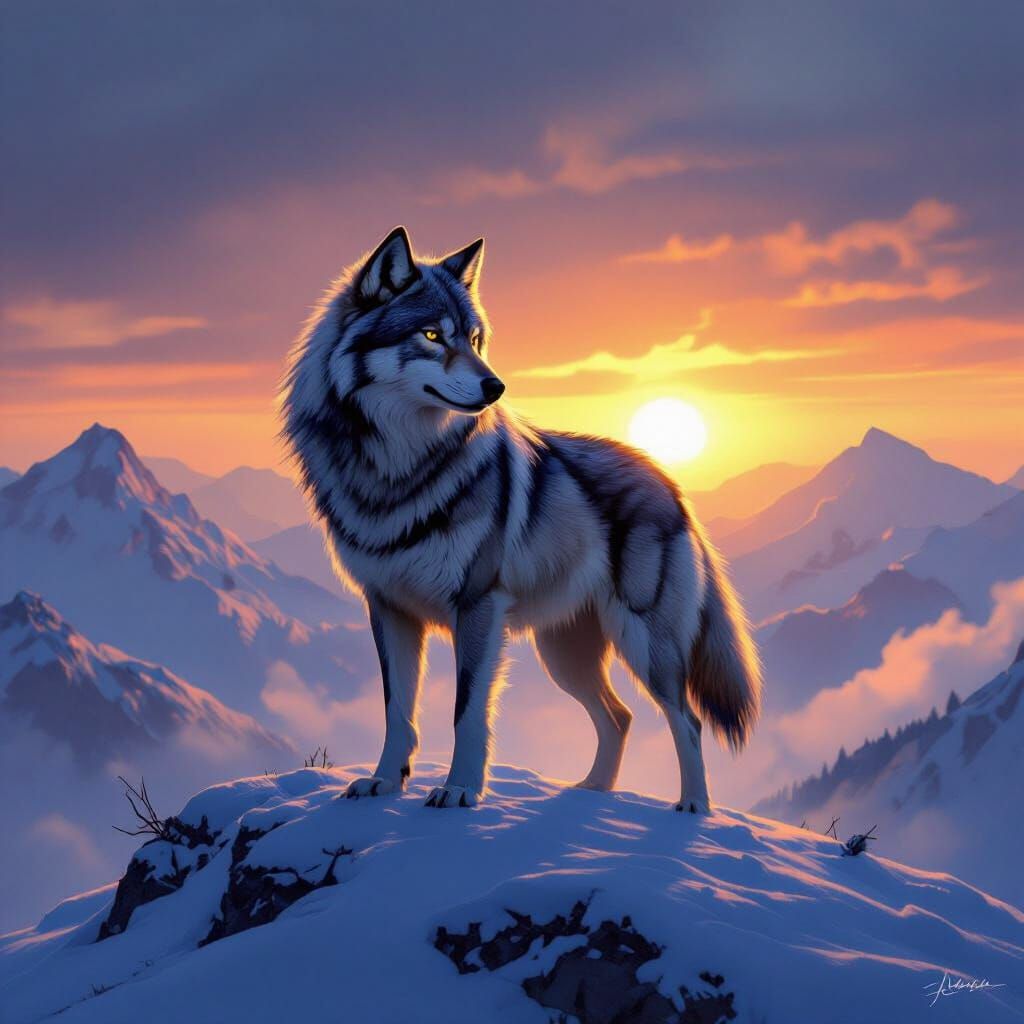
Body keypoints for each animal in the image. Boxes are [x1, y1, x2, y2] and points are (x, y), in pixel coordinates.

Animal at [281, 226, 760, 811]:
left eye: (475, 339)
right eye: (432, 335)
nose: (496, 387)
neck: (397, 468)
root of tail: (670, 481)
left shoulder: (477, 607)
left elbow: (467, 712)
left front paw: (460, 789)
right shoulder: (388, 609)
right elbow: (398, 712)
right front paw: (384, 782)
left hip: (644, 644)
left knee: (686, 719)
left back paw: (693, 808)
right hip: (565, 656)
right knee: (619, 716)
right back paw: (593, 791)